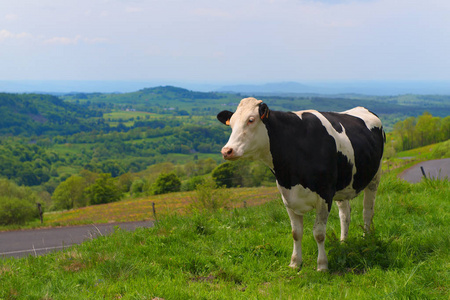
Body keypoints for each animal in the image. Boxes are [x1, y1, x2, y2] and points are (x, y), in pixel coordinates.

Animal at [216, 97, 384, 270]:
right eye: (231, 123)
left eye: (251, 120)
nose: (227, 151)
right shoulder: (288, 197)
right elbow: (296, 233)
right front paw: (295, 262)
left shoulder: (325, 194)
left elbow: (319, 233)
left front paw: (322, 265)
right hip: (343, 187)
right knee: (345, 215)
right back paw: (343, 243)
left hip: (375, 177)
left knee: (367, 211)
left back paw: (367, 239)